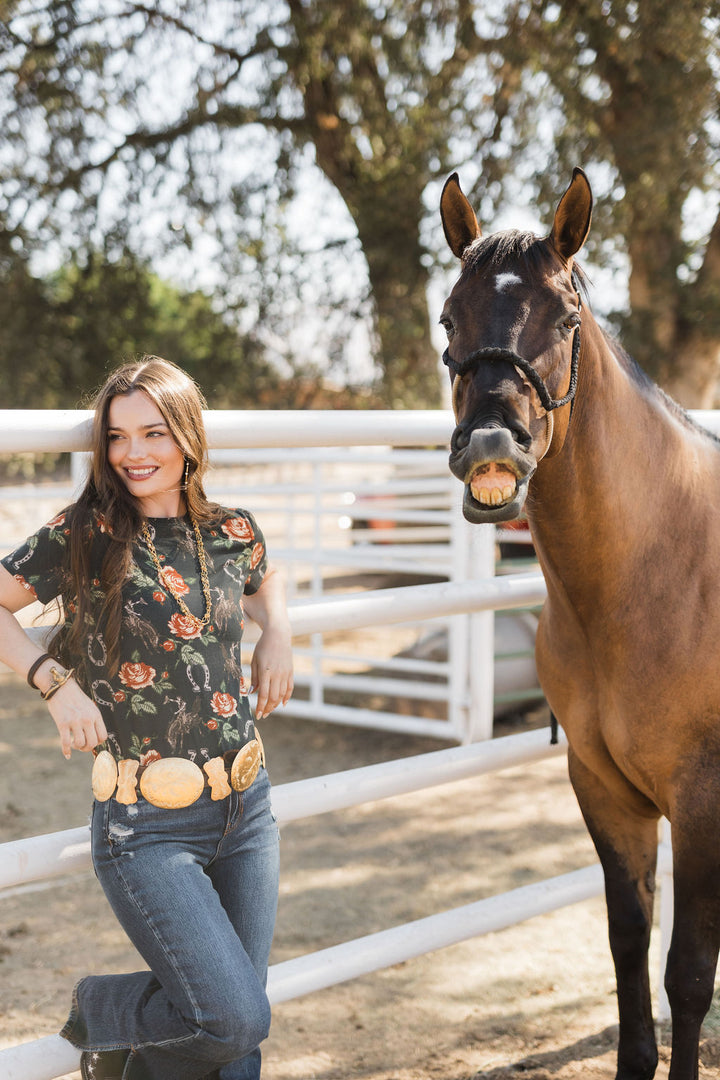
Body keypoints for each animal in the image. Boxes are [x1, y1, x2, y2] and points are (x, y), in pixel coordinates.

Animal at [440, 168, 720, 1080]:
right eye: (448, 317)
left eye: (565, 319)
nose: (491, 446)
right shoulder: (603, 791)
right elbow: (629, 947)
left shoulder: (701, 802)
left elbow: (687, 975)